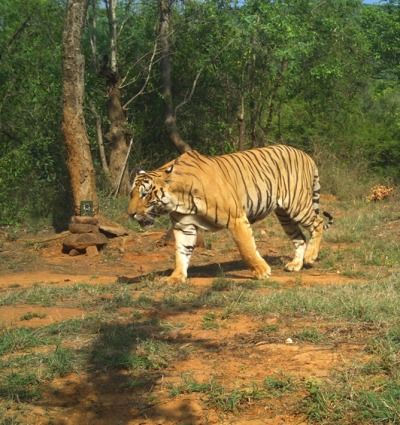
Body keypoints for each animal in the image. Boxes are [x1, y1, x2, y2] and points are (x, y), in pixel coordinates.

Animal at [127, 144, 332, 284]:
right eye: (131, 194)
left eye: (145, 194)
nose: (130, 214)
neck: (179, 200)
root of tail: (305, 154)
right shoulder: (184, 227)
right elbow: (181, 253)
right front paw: (175, 277)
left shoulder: (236, 218)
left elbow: (246, 248)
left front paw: (262, 271)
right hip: (284, 215)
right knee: (300, 238)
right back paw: (295, 265)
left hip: (297, 205)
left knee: (318, 222)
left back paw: (310, 257)